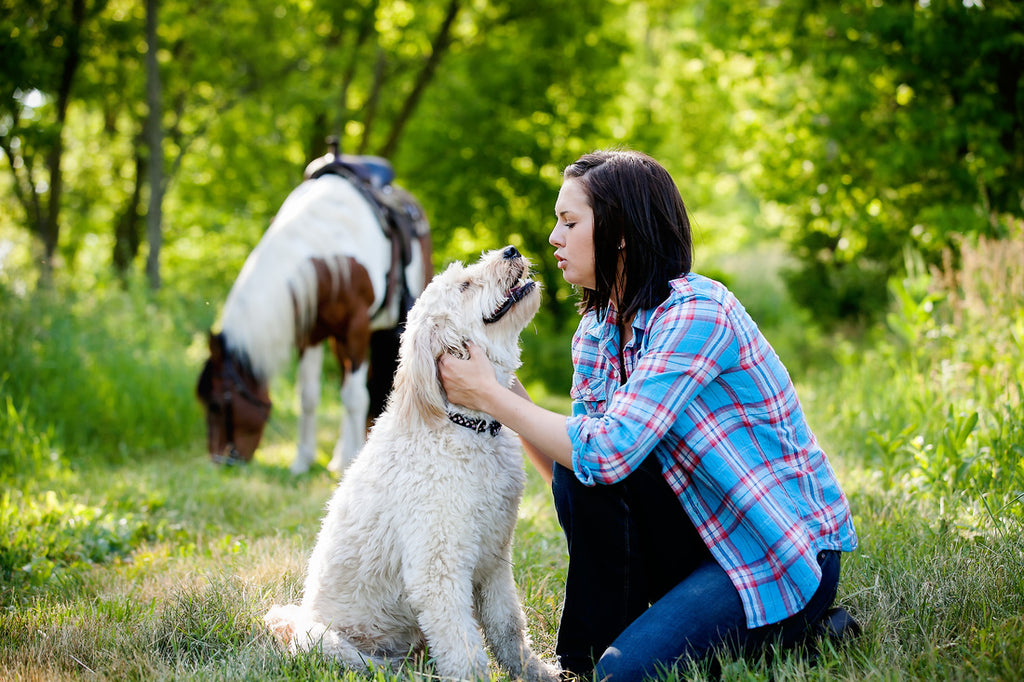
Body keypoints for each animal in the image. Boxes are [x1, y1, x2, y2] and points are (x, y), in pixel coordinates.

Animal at [196, 153, 432, 473]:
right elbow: (308, 396)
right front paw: (303, 460)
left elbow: (355, 397)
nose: (220, 461)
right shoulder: (312, 335)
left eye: (217, 404)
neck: (329, 252)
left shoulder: (356, 328)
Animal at [260, 245, 557, 679]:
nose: (511, 250)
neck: (467, 424)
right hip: (323, 641)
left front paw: (535, 672)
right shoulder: (437, 572)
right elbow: (465, 651)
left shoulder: (494, 561)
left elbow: (508, 628)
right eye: (465, 285)